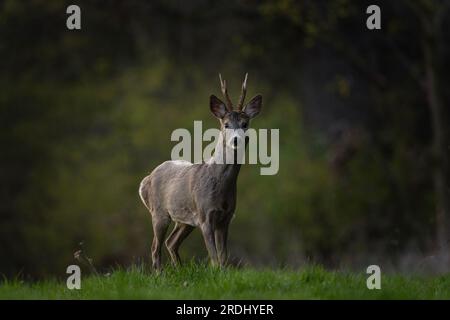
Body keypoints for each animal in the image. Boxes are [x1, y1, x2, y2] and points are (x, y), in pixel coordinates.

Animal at [139, 73, 262, 270]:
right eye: (226, 124)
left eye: (245, 123)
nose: (236, 140)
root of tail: (146, 180)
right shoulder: (205, 215)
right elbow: (214, 259)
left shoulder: (226, 218)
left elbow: (223, 258)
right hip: (158, 212)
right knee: (155, 247)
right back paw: (160, 274)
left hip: (185, 219)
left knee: (171, 242)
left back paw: (179, 269)